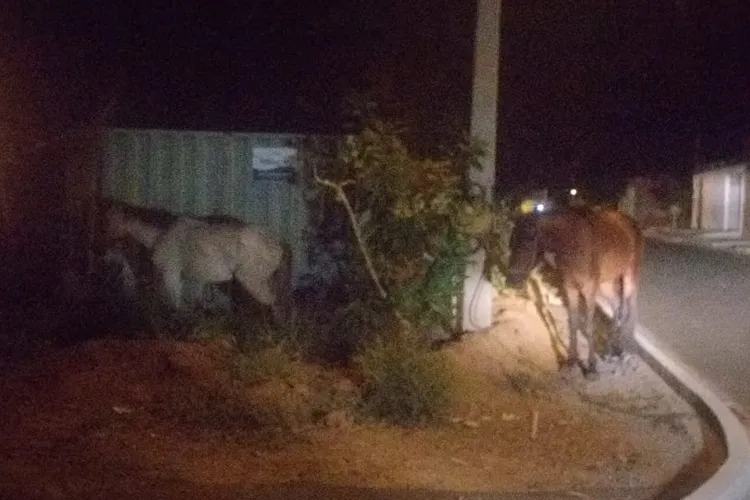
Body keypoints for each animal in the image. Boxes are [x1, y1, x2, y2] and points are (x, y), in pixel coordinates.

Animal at [512, 207, 648, 378]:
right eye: (511, 242)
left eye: (528, 242)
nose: (511, 280)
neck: (574, 243)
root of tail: (631, 222)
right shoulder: (570, 288)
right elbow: (573, 323)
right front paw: (571, 362)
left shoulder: (589, 290)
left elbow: (589, 326)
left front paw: (591, 367)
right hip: (606, 284)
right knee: (618, 310)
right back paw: (612, 350)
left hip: (629, 277)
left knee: (630, 309)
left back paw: (625, 351)